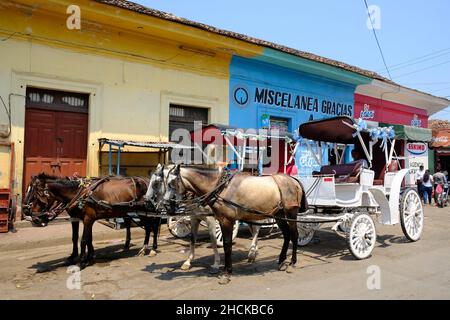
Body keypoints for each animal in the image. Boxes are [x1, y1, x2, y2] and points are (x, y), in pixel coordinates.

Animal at [23, 172, 160, 268]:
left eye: (36, 195)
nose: (30, 215)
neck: (79, 193)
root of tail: (147, 181)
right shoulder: (79, 218)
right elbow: (80, 238)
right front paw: (84, 256)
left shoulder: (88, 218)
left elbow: (83, 239)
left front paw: (82, 261)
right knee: (149, 227)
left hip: (147, 211)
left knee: (152, 226)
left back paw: (150, 248)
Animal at [162, 164, 306, 284]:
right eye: (164, 182)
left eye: (172, 183)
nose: (166, 205)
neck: (220, 187)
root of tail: (294, 180)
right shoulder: (220, 219)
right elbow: (223, 244)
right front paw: (225, 268)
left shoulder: (227, 221)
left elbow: (227, 245)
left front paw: (227, 272)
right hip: (279, 215)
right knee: (286, 235)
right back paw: (281, 260)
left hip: (291, 213)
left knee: (294, 235)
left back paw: (292, 263)